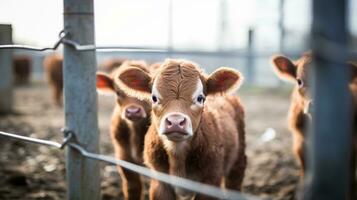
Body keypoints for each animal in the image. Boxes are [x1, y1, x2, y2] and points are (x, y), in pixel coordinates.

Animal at [115, 58, 246, 199]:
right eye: (154, 98)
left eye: (200, 98)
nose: (175, 122)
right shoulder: (160, 182)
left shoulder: (211, 179)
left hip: (239, 157)